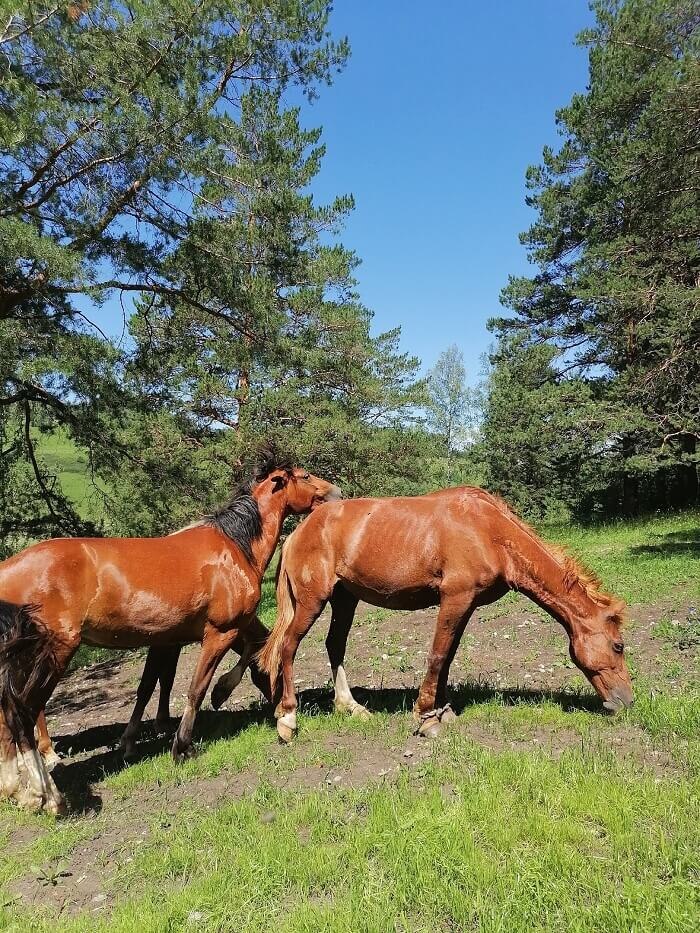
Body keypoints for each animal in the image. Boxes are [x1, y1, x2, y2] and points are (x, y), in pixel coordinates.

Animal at [0, 456, 342, 812]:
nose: (336, 492)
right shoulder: (221, 631)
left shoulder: (178, 637)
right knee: (23, 713)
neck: (235, 546)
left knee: (10, 712)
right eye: (305, 476)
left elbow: (158, 684)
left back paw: (22, 790)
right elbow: (197, 687)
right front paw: (186, 740)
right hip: (54, 653)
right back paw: (47, 794)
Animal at [258, 484, 636, 740]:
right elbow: (438, 655)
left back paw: (350, 707)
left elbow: (449, 655)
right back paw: (287, 718)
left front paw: (443, 711)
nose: (626, 702)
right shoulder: (455, 598)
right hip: (312, 601)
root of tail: (298, 532)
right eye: (618, 646)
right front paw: (426, 717)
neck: (489, 531)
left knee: (334, 645)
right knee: (288, 647)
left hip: (344, 600)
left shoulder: (466, 604)